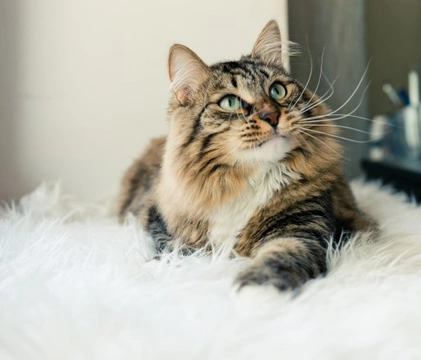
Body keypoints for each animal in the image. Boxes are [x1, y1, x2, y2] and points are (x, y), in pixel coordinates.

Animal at [117, 19, 378, 292]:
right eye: (230, 102)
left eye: (277, 91)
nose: (271, 116)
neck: (248, 179)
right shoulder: (163, 227)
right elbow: (181, 252)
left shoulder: (303, 226)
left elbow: (279, 256)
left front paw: (256, 293)